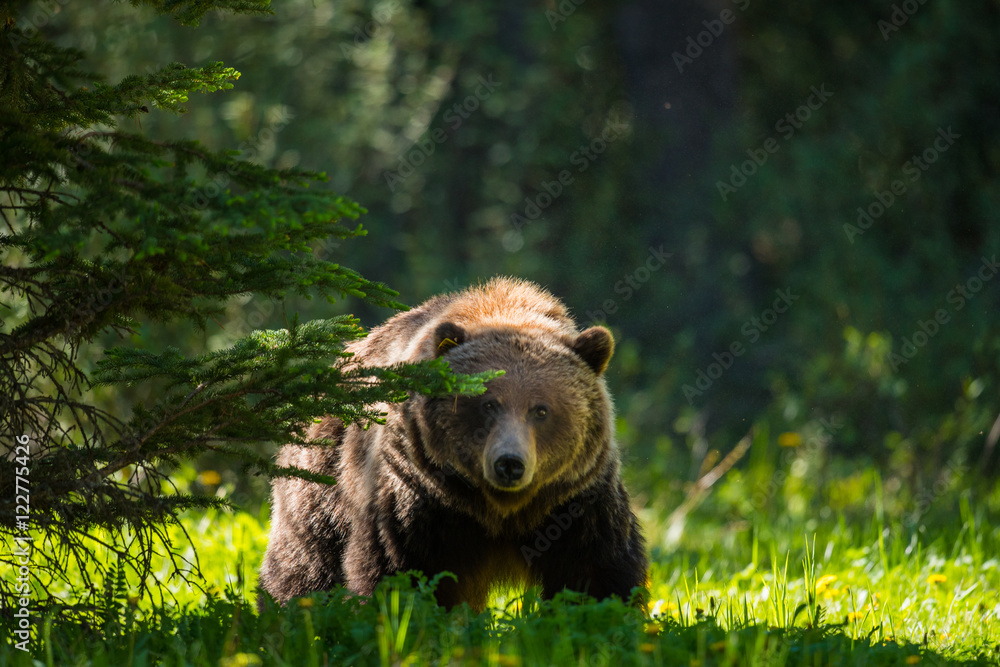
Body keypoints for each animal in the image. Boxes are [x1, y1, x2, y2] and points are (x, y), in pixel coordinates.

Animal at [258, 277, 647, 611]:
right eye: (487, 404)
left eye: (541, 410)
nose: (509, 463)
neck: (500, 511)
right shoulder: (418, 494)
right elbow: (399, 569)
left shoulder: (576, 500)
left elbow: (596, 573)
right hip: (322, 481)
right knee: (304, 563)